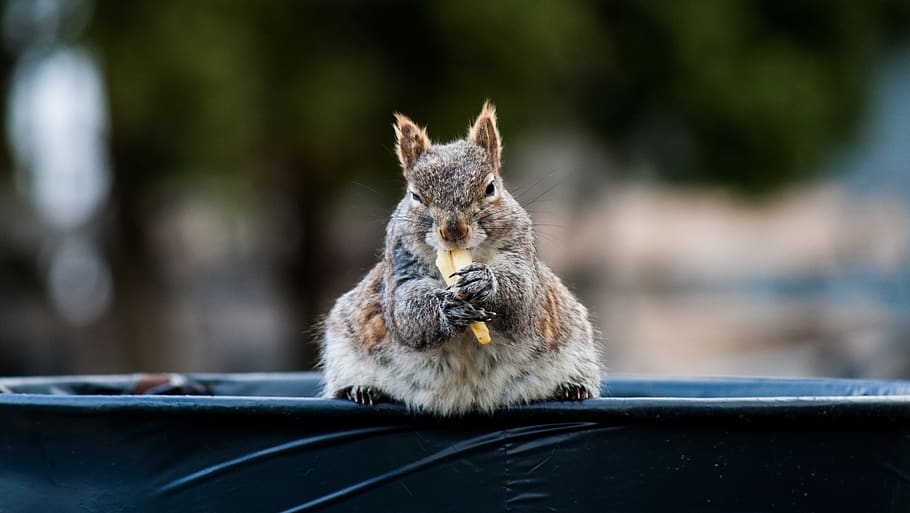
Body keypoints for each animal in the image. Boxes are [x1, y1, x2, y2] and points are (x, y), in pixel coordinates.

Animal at [320, 101, 601, 415]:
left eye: (490, 188)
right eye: (415, 195)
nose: (453, 230)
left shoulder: (521, 257)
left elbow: (523, 296)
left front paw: (484, 282)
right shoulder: (400, 271)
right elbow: (405, 310)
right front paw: (446, 309)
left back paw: (572, 387)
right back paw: (360, 389)